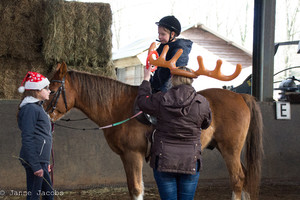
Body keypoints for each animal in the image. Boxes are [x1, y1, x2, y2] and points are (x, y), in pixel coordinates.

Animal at [44, 61, 262, 200]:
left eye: (52, 91)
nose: (44, 114)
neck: (119, 106)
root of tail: (241, 96)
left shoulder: (133, 154)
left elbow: (136, 189)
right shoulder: (126, 157)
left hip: (230, 149)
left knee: (238, 178)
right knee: (245, 176)